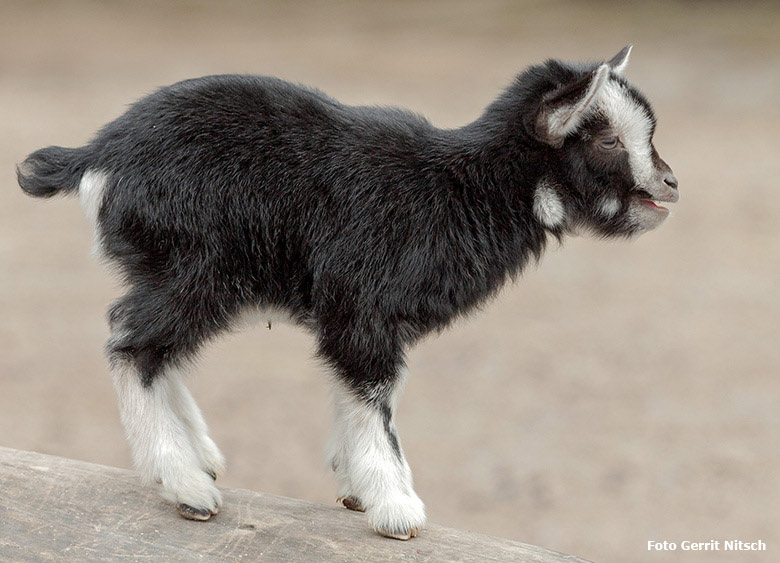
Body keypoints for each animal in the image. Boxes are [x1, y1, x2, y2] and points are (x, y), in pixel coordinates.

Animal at [18, 46, 676, 540]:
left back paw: (199, 454)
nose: (670, 183)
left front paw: (353, 483)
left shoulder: (364, 318)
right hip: (196, 270)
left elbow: (365, 392)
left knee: (150, 345)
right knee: (131, 343)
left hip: (183, 276)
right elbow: (374, 398)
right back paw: (185, 484)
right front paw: (396, 507)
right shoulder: (364, 310)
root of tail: (98, 154)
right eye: (608, 140)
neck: (459, 190)